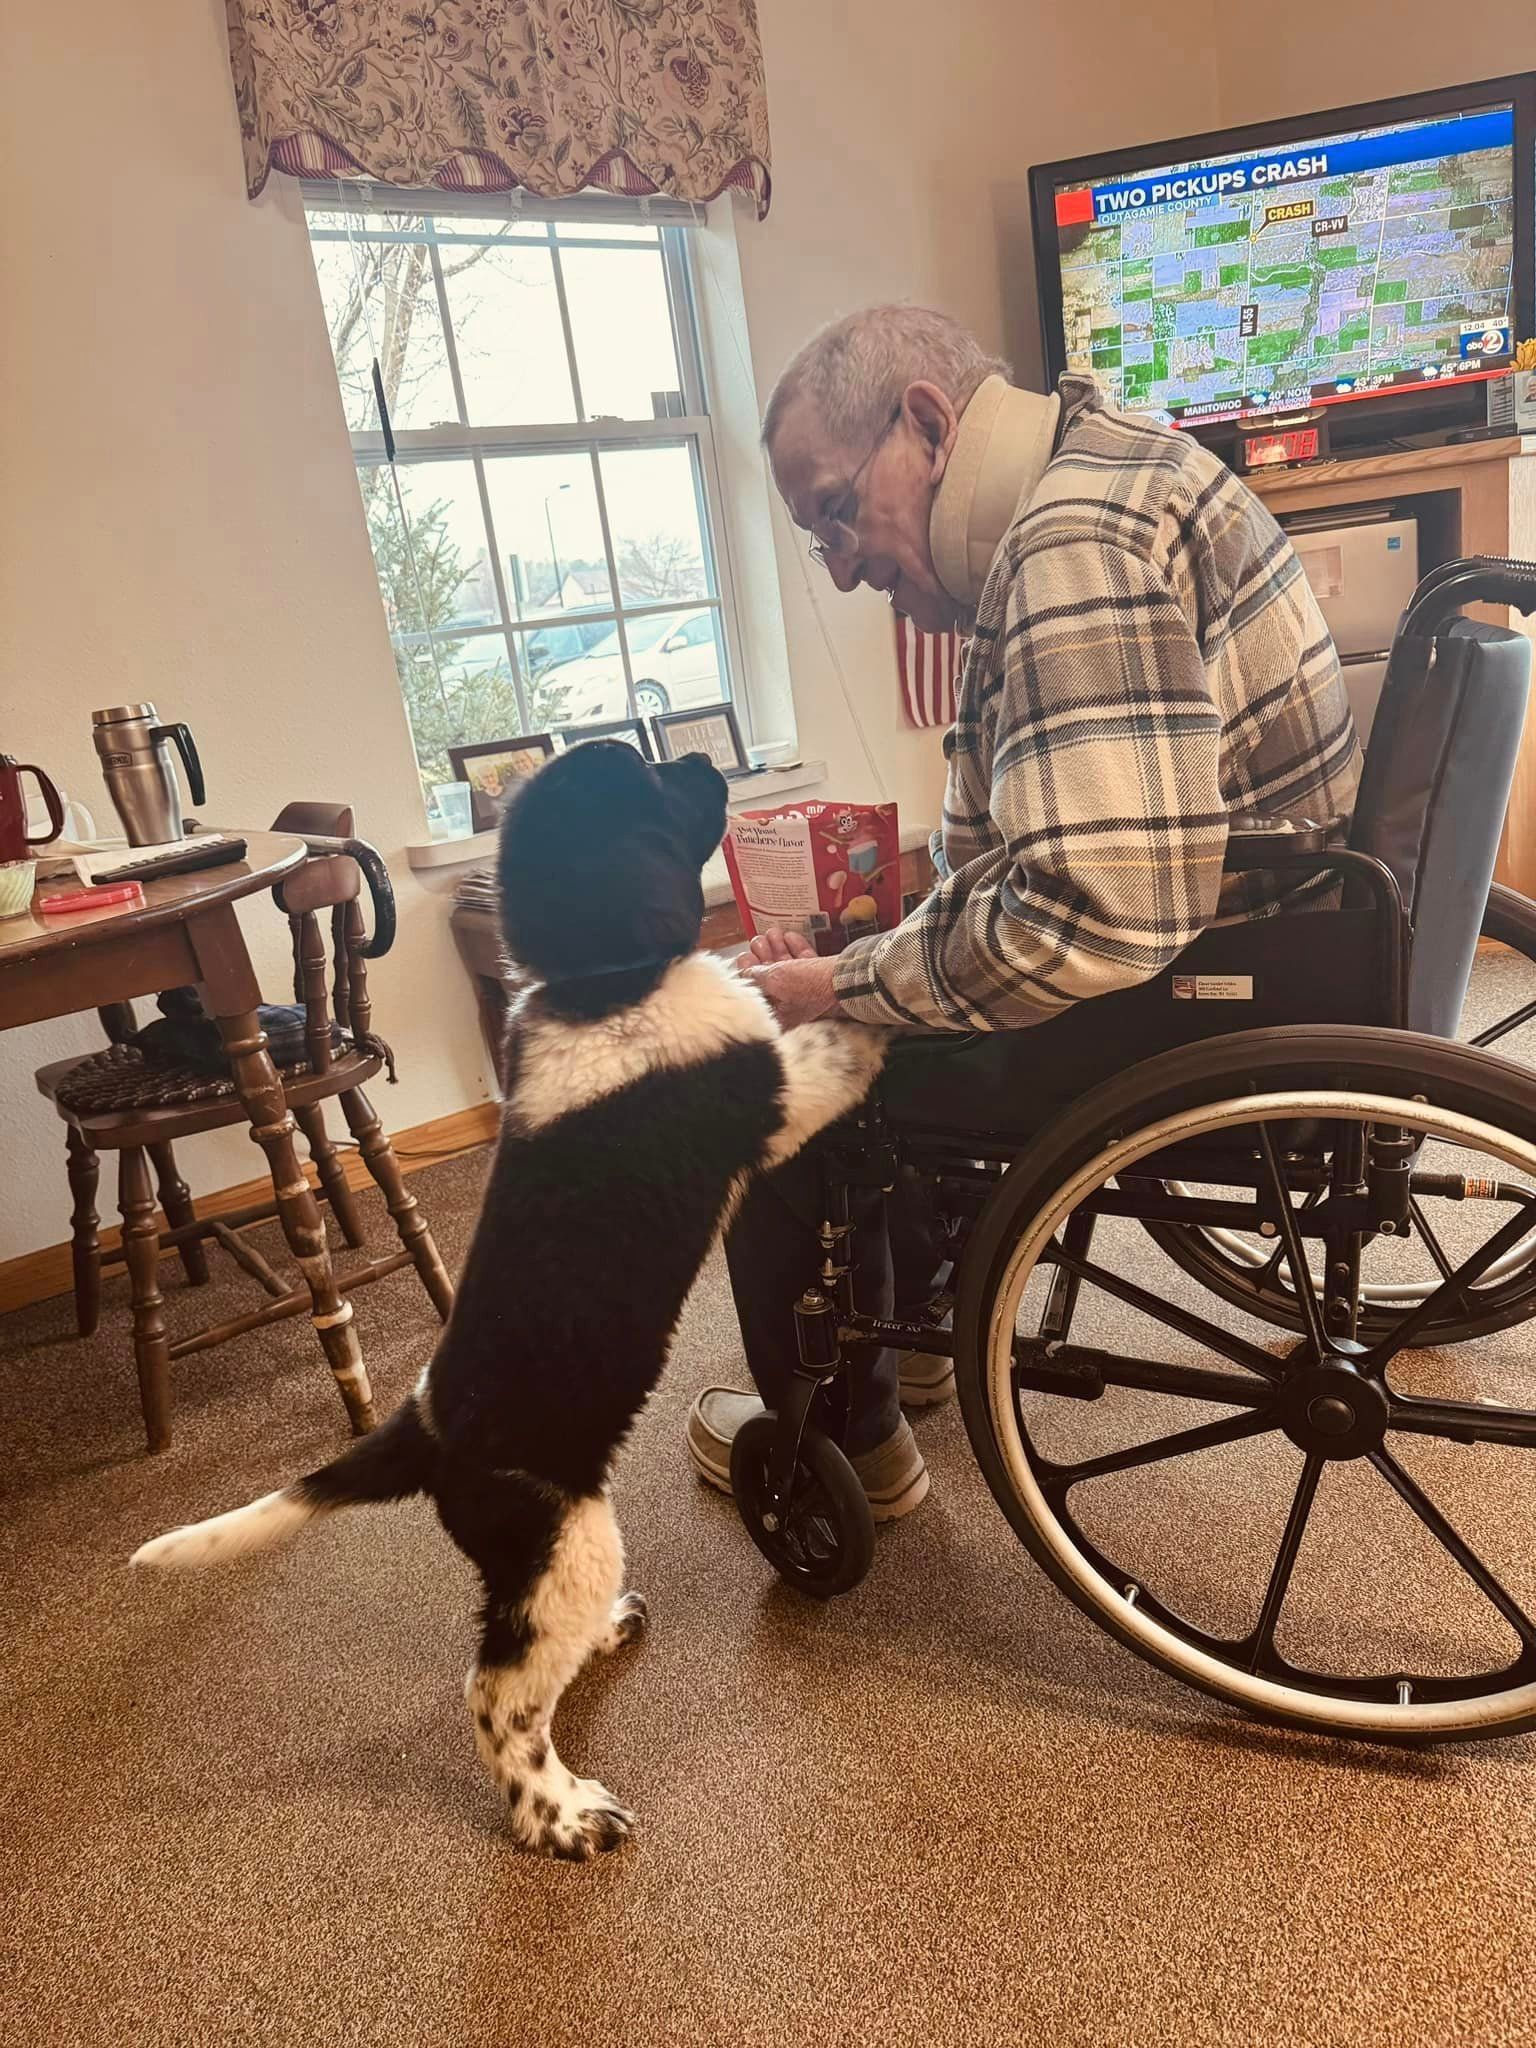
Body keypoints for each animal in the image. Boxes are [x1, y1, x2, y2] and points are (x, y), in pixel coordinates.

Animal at [135, 745, 888, 1867]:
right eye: (652, 781)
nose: (708, 757)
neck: (598, 987)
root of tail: (424, 1428)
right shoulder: (772, 1097)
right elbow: (825, 1045)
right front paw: (861, 988)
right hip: (560, 1540)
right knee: (496, 1692)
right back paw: (560, 1813)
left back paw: (604, 1642)